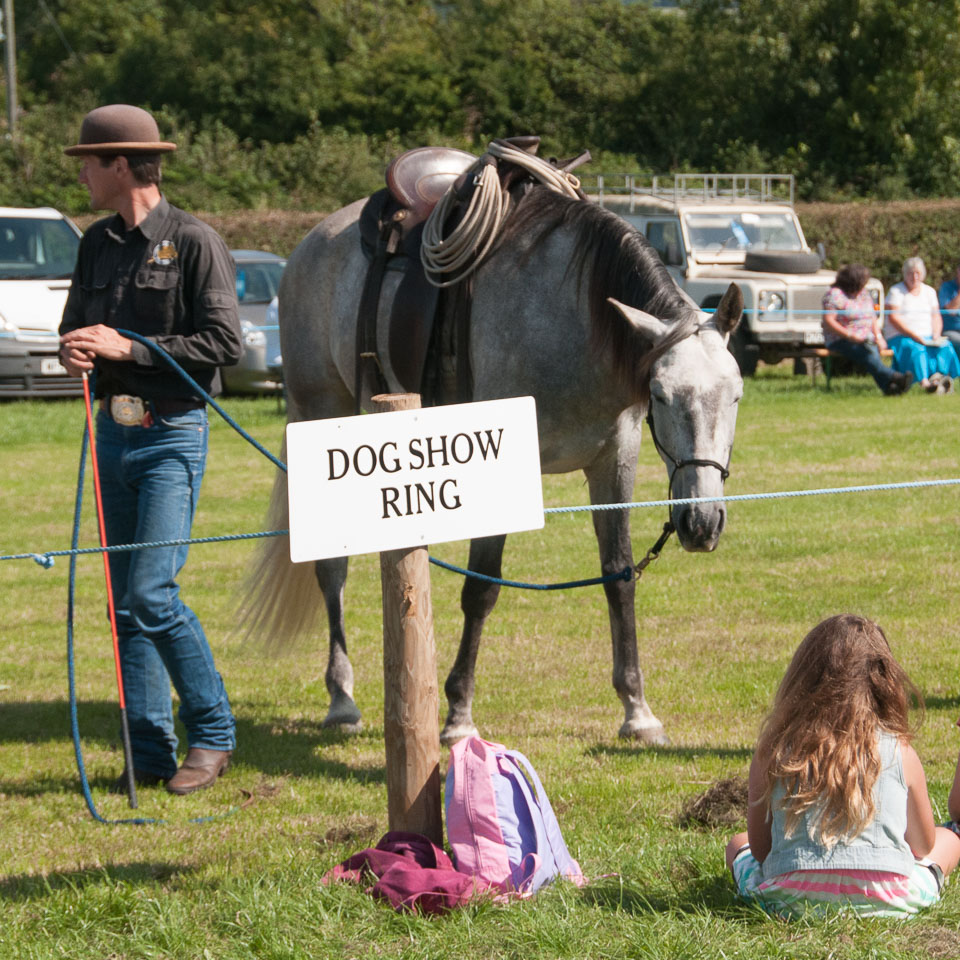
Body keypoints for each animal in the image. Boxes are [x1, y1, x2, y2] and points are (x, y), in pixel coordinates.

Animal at [246, 186, 744, 744]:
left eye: (736, 395)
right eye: (659, 393)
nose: (701, 522)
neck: (573, 322)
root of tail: (309, 244)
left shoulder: (616, 459)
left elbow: (618, 577)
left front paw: (637, 710)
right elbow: (481, 587)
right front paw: (458, 715)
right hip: (320, 412)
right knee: (332, 568)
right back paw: (342, 698)